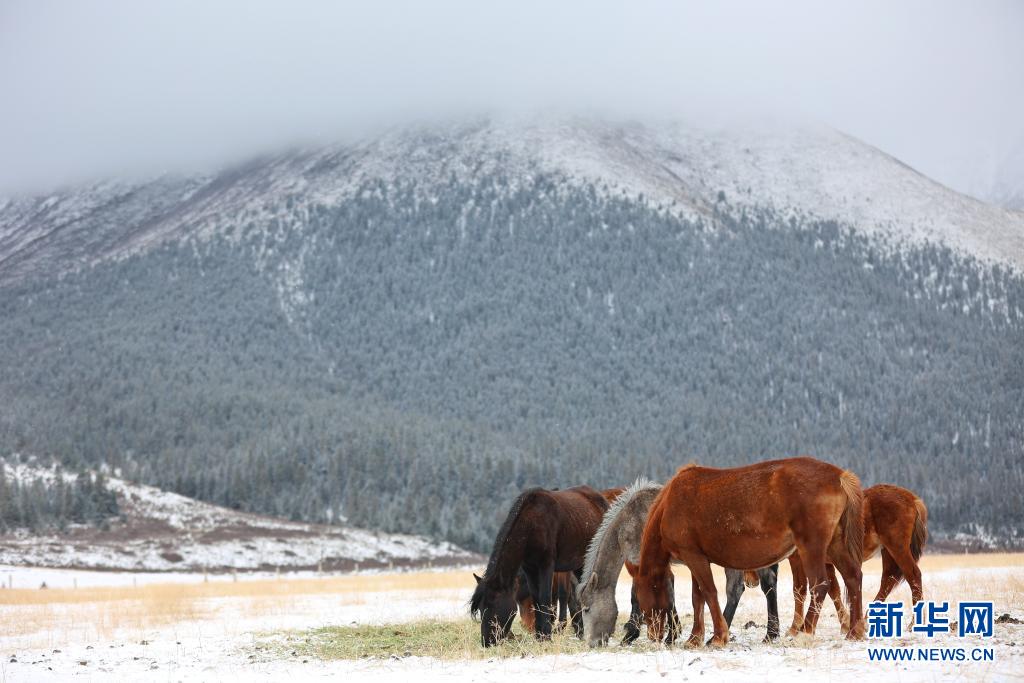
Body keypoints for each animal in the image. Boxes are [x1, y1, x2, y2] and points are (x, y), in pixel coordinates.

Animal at [468, 485, 606, 647]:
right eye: (481, 608)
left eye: (493, 604)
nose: (487, 642)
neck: (532, 525)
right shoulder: (530, 568)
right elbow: (536, 599)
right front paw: (540, 636)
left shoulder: (546, 566)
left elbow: (545, 598)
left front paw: (546, 636)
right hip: (579, 565)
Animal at [577, 475, 774, 647]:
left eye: (587, 608)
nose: (593, 643)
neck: (630, 522)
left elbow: (657, 596)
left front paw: (665, 636)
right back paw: (770, 634)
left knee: (736, 590)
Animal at [630, 458, 864, 647]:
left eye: (641, 600)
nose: (654, 636)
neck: (670, 504)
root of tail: (839, 476)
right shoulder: (696, 558)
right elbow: (698, 597)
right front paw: (695, 638)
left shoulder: (694, 558)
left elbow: (709, 592)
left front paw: (718, 637)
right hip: (835, 544)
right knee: (853, 577)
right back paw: (855, 631)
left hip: (811, 547)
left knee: (820, 584)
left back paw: (805, 632)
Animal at [782, 483, 929, 638]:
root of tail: (913, 500)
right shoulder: (826, 562)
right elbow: (834, 590)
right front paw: (845, 624)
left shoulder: (798, 559)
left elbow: (799, 589)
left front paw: (794, 628)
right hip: (888, 551)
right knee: (888, 580)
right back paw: (867, 620)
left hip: (898, 548)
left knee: (913, 576)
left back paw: (913, 624)